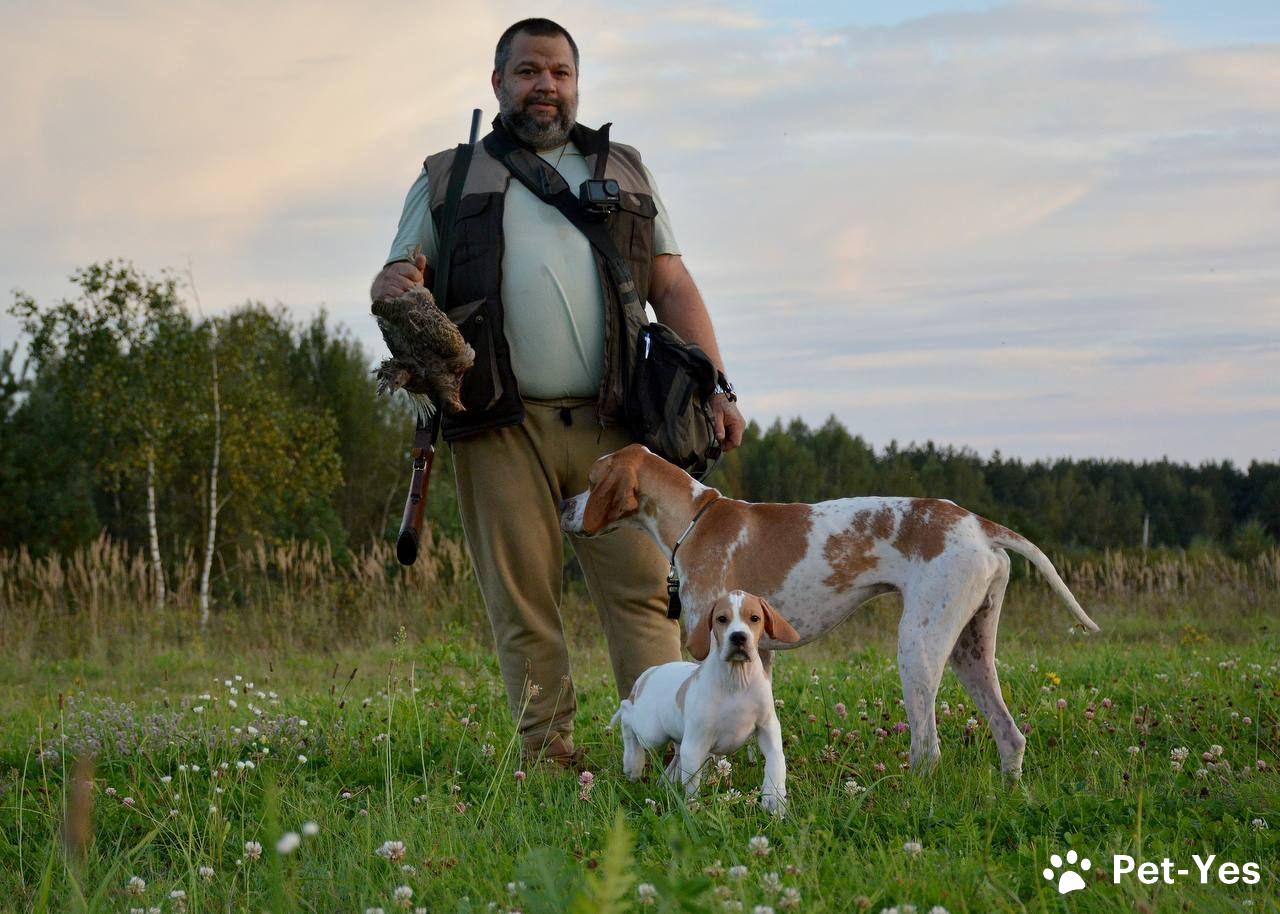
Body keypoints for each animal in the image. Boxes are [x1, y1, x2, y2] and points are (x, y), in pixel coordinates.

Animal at [563, 444, 1100, 780]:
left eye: (591, 480)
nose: (564, 505)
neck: (696, 519)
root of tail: (977, 523)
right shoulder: (758, 655)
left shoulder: (709, 653)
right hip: (971, 650)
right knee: (1010, 736)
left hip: (919, 649)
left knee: (928, 747)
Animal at [609, 590, 800, 815]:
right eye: (722, 619)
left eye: (754, 618)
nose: (738, 636)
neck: (737, 680)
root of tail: (650, 672)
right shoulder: (695, 743)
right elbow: (692, 783)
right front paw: (693, 810)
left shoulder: (767, 727)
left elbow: (776, 762)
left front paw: (774, 799)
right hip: (652, 733)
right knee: (626, 714)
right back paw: (632, 764)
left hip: (674, 736)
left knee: (674, 756)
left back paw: (664, 781)